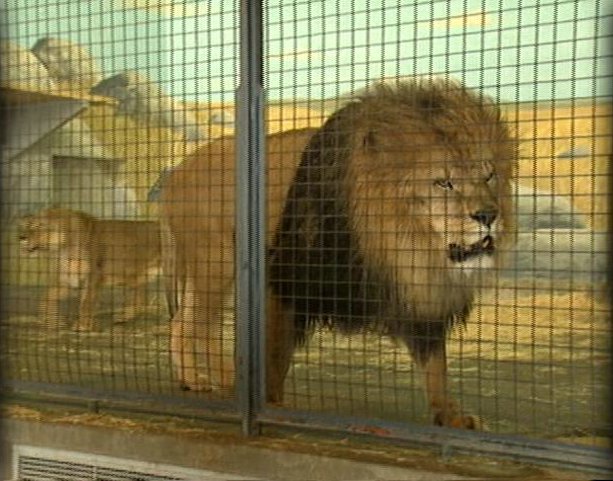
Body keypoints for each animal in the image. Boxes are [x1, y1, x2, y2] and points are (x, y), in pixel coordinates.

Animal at [18, 207, 163, 330]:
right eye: (27, 226)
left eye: (40, 226)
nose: (21, 237)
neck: (63, 249)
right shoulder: (69, 279)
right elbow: (46, 297)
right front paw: (53, 322)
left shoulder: (93, 275)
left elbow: (86, 302)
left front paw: (83, 326)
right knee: (140, 299)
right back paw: (122, 318)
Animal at [160, 79, 512, 428]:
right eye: (444, 182)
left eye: (489, 175)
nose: (488, 215)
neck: (409, 244)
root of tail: (178, 170)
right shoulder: (285, 277)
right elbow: (275, 354)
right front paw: (271, 405)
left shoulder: (422, 295)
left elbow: (436, 364)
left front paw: (450, 415)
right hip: (216, 261)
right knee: (202, 324)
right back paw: (227, 381)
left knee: (182, 320)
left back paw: (192, 379)